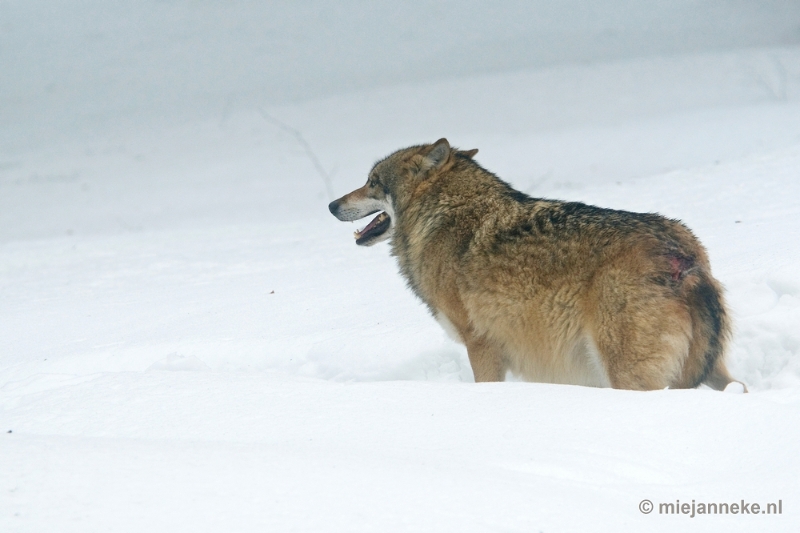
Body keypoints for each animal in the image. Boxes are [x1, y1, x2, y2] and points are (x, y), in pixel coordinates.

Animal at [328, 138, 740, 390]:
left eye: (371, 182)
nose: (331, 205)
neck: (442, 217)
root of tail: (685, 254)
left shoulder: (482, 345)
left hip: (628, 374)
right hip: (709, 368)